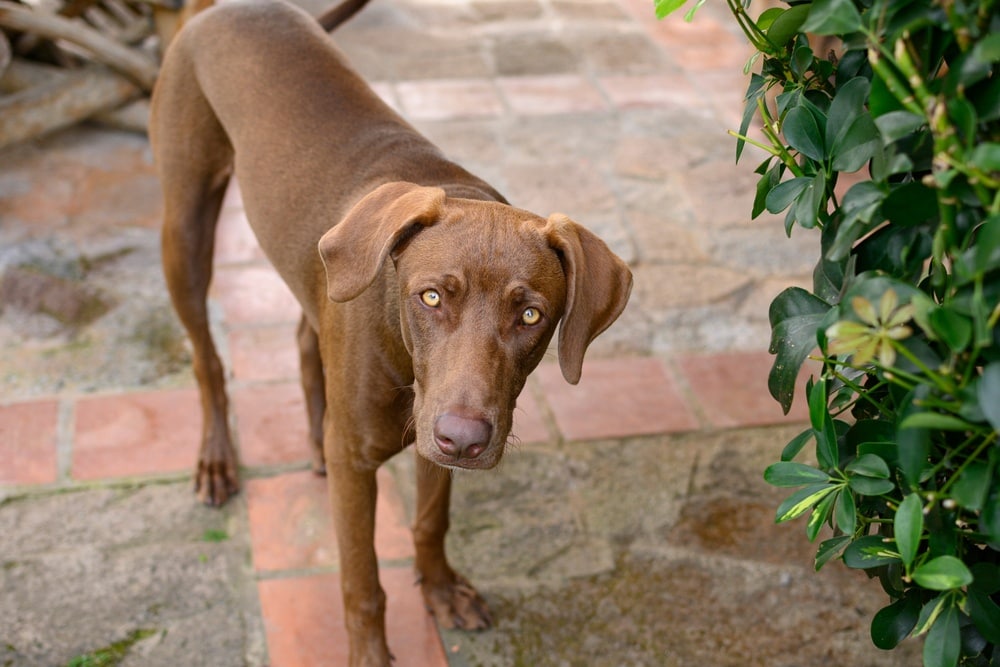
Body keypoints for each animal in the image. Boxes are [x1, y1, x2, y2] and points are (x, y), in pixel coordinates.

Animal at [146, 2, 632, 664]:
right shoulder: (361, 459)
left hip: (315, 269)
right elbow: (361, 581)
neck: (402, 353)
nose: (465, 440)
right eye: (431, 297)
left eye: (531, 316)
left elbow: (430, 517)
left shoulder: (436, 428)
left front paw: (441, 588)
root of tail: (219, 9)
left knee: (306, 338)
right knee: (206, 357)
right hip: (186, 224)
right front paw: (371, 652)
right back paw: (217, 459)